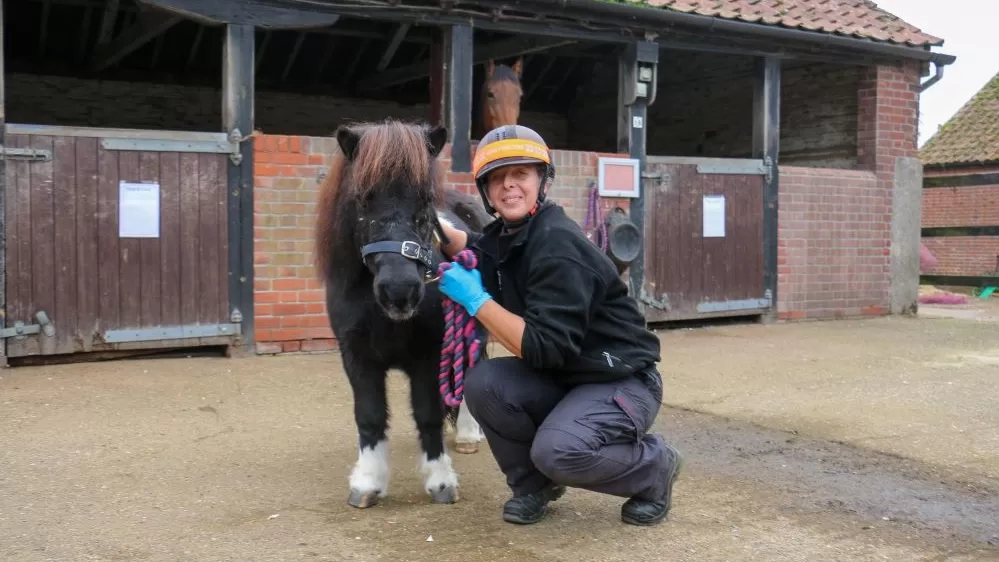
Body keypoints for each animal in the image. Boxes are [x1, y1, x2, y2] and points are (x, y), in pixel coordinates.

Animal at [314, 119, 493, 509]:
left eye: (424, 199)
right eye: (362, 198)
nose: (400, 291)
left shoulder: (428, 354)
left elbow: (427, 414)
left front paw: (440, 482)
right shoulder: (356, 356)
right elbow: (369, 415)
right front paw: (367, 483)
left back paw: (468, 435)